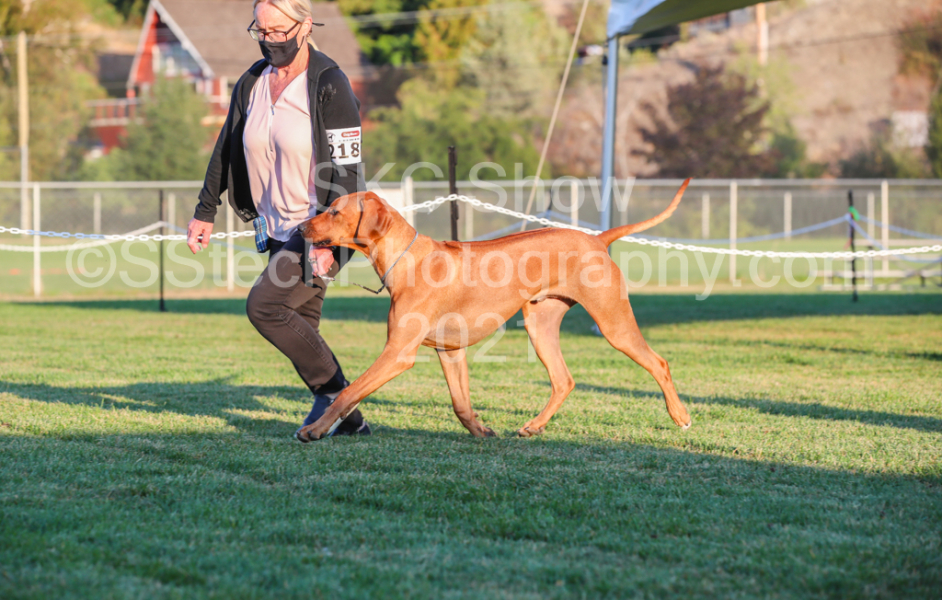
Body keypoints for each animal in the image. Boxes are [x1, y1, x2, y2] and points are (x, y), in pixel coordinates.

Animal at [295, 180, 692, 441]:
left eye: (334, 212)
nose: (299, 228)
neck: (408, 259)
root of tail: (596, 239)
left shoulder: (398, 353)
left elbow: (347, 392)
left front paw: (313, 430)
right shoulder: (450, 352)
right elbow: (460, 403)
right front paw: (480, 429)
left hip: (613, 323)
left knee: (659, 362)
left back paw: (680, 415)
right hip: (539, 324)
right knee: (564, 379)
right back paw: (535, 425)